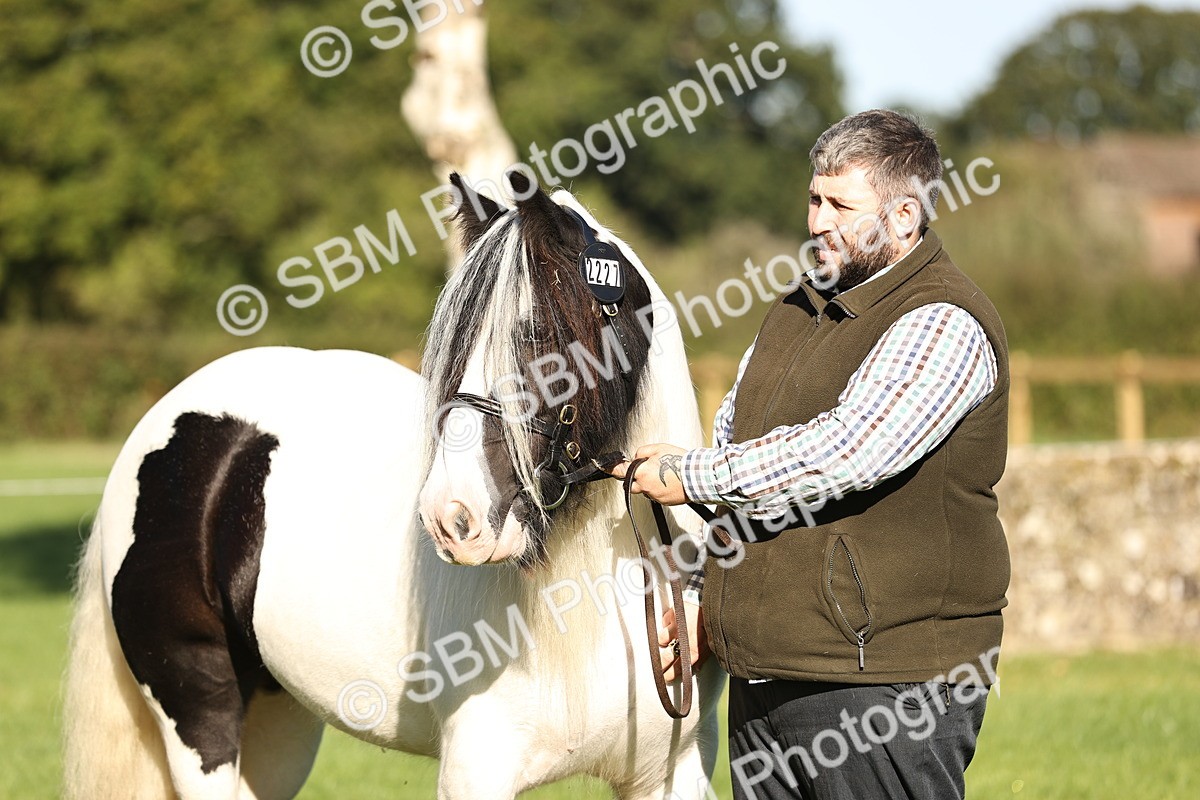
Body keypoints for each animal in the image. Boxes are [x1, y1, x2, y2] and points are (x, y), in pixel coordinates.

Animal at [63, 170, 725, 799]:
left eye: (538, 333)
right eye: (456, 344)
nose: (452, 518)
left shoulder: (672, 776)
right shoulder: (475, 772)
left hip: (276, 720)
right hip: (198, 711)